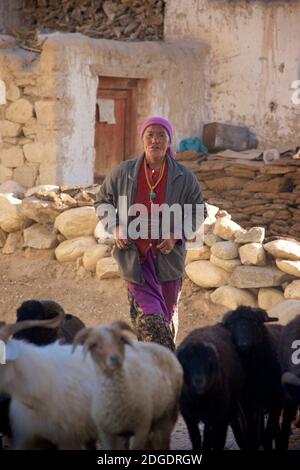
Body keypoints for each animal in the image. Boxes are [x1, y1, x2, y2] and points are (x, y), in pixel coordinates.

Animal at [74, 322, 184, 450]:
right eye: (93, 345)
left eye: (121, 339)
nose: (115, 359)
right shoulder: (106, 432)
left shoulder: (141, 429)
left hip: (167, 417)